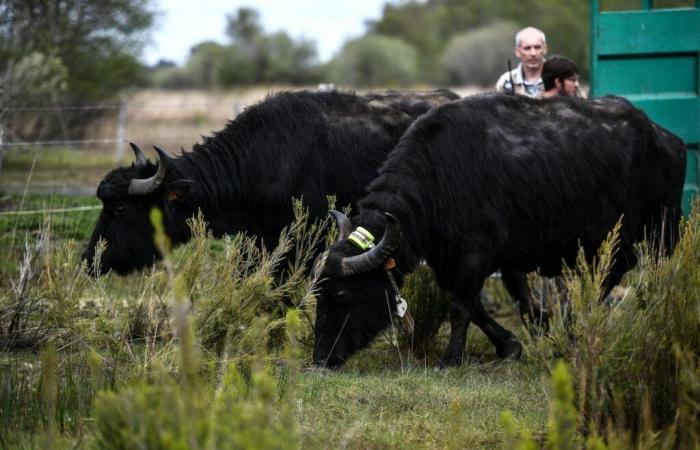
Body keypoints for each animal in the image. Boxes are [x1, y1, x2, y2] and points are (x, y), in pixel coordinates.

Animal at [314, 93, 688, 368]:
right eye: (317, 292)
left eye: (340, 294)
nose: (321, 358)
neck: (440, 176)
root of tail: (666, 139)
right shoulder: (446, 261)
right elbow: (472, 306)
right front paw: (510, 345)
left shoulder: (475, 253)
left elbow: (460, 307)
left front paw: (450, 359)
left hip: (658, 230)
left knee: (640, 273)